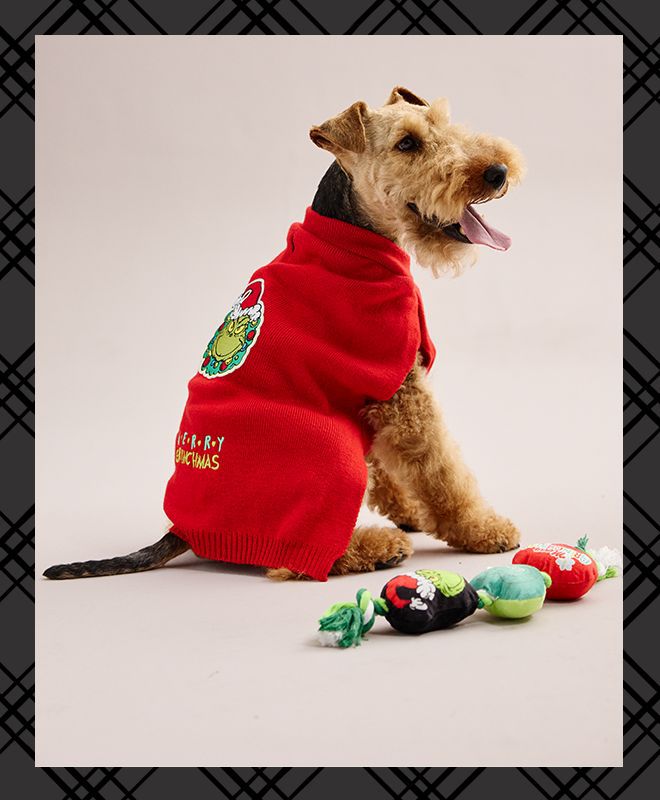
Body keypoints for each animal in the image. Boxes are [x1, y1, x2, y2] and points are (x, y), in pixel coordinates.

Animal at [44, 86, 524, 583]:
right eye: (406, 144)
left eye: (444, 123)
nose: (497, 171)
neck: (353, 236)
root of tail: (184, 530)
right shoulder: (401, 388)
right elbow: (441, 469)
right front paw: (483, 530)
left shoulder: (367, 398)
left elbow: (396, 466)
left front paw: (412, 511)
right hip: (328, 448)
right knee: (292, 559)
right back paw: (377, 546)